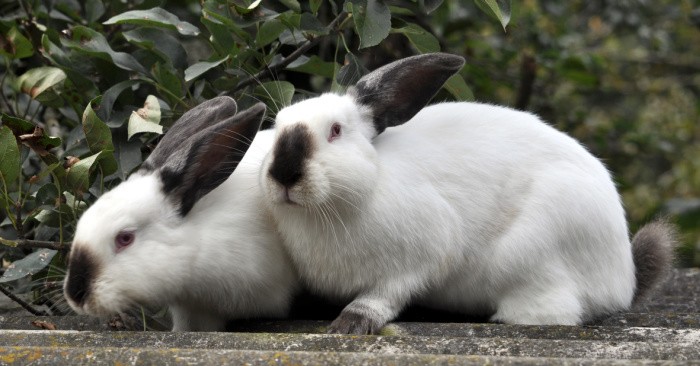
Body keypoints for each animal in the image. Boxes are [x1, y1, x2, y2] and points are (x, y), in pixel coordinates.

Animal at [260, 52, 676, 334]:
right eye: (277, 126)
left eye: (335, 131)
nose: (283, 174)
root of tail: (623, 279)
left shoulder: (421, 255)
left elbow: (385, 294)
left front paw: (350, 322)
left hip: (531, 256)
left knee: (555, 312)